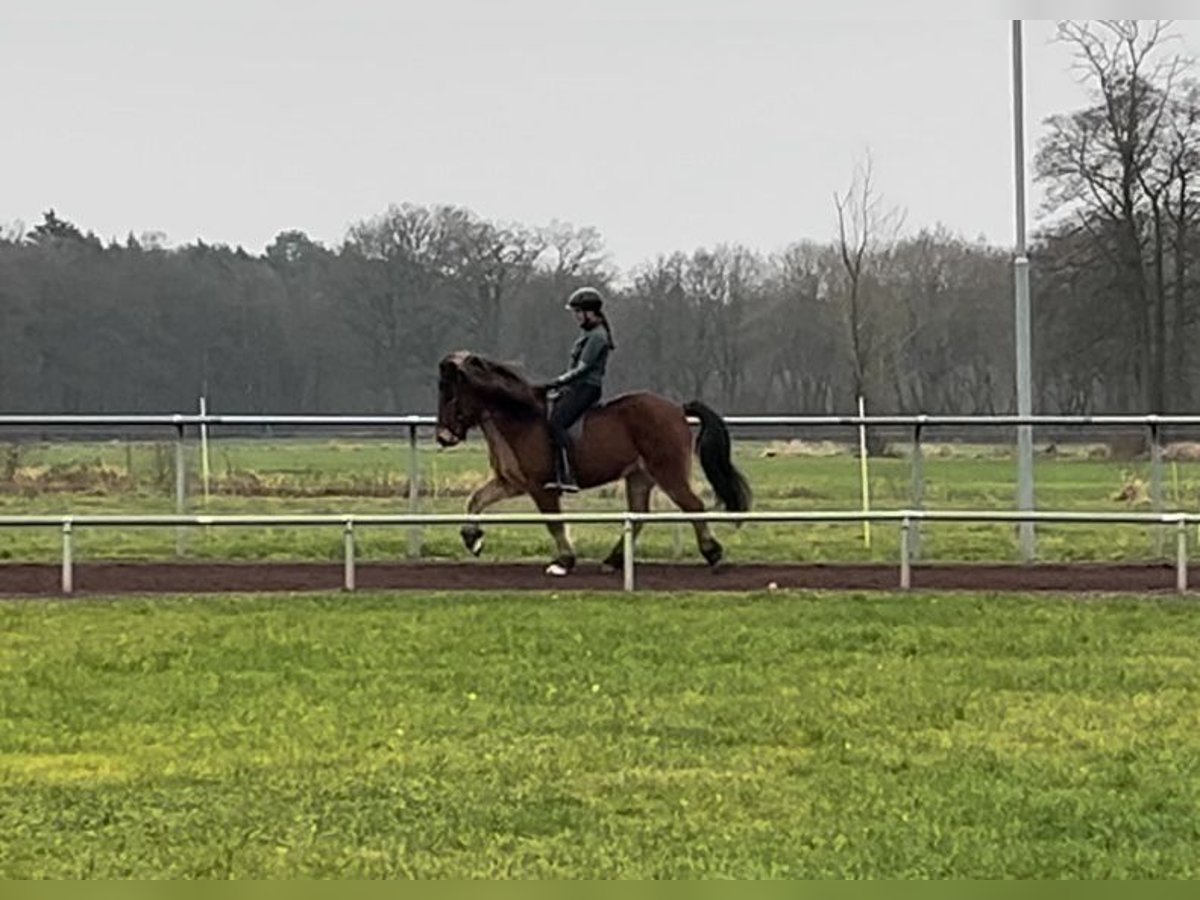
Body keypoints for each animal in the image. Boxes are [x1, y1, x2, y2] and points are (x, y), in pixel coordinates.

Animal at [432, 352, 748, 578]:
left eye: (451, 394)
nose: (443, 436)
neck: (520, 419)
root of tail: (677, 409)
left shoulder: (542, 487)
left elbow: (554, 524)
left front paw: (563, 562)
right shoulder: (512, 483)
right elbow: (476, 500)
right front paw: (473, 540)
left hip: (668, 472)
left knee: (693, 506)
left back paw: (713, 554)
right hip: (639, 476)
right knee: (639, 515)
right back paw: (613, 561)